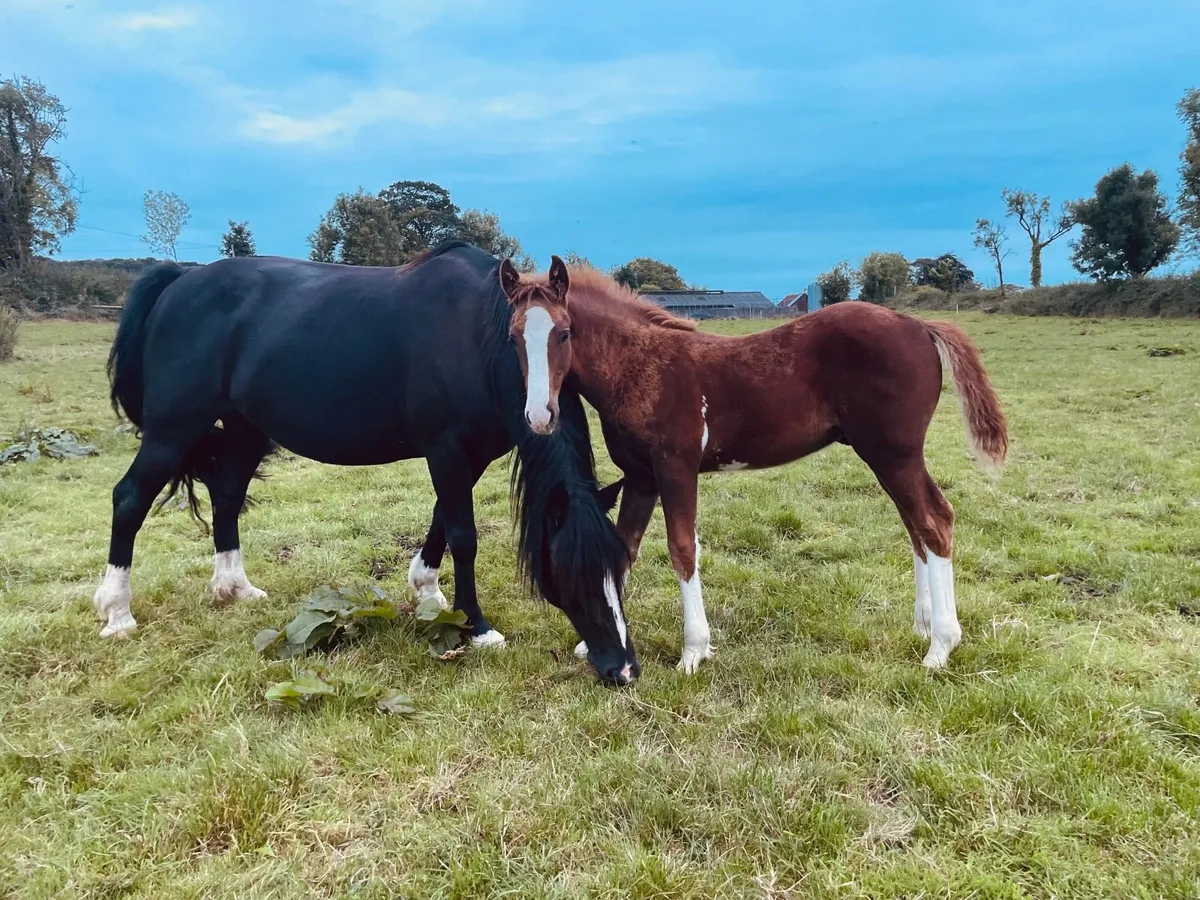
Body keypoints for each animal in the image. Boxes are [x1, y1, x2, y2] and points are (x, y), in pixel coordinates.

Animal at [95, 242, 639, 685]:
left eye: (620, 566)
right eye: (568, 573)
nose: (624, 669)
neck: (477, 335)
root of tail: (178, 281)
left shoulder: (472, 453)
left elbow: (443, 519)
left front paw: (427, 592)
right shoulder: (446, 449)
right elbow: (464, 536)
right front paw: (477, 626)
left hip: (245, 428)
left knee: (226, 495)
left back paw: (235, 587)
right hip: (174, 427)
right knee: (130, 498)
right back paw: (117, 612)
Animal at [499, 256, 1008, 674]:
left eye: (564, 332)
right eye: (514, 337)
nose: (540, 415)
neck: (641, 368)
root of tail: (919, 325)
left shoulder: (675, 469)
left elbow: (683, 550)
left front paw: (693, 652)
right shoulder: (640, 478)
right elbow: (624, 547)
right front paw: (592, 643)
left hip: (894, 453)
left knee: (934, 520)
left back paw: (941, 646)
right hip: (889, 457)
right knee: (916, 525)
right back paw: (924, 626)